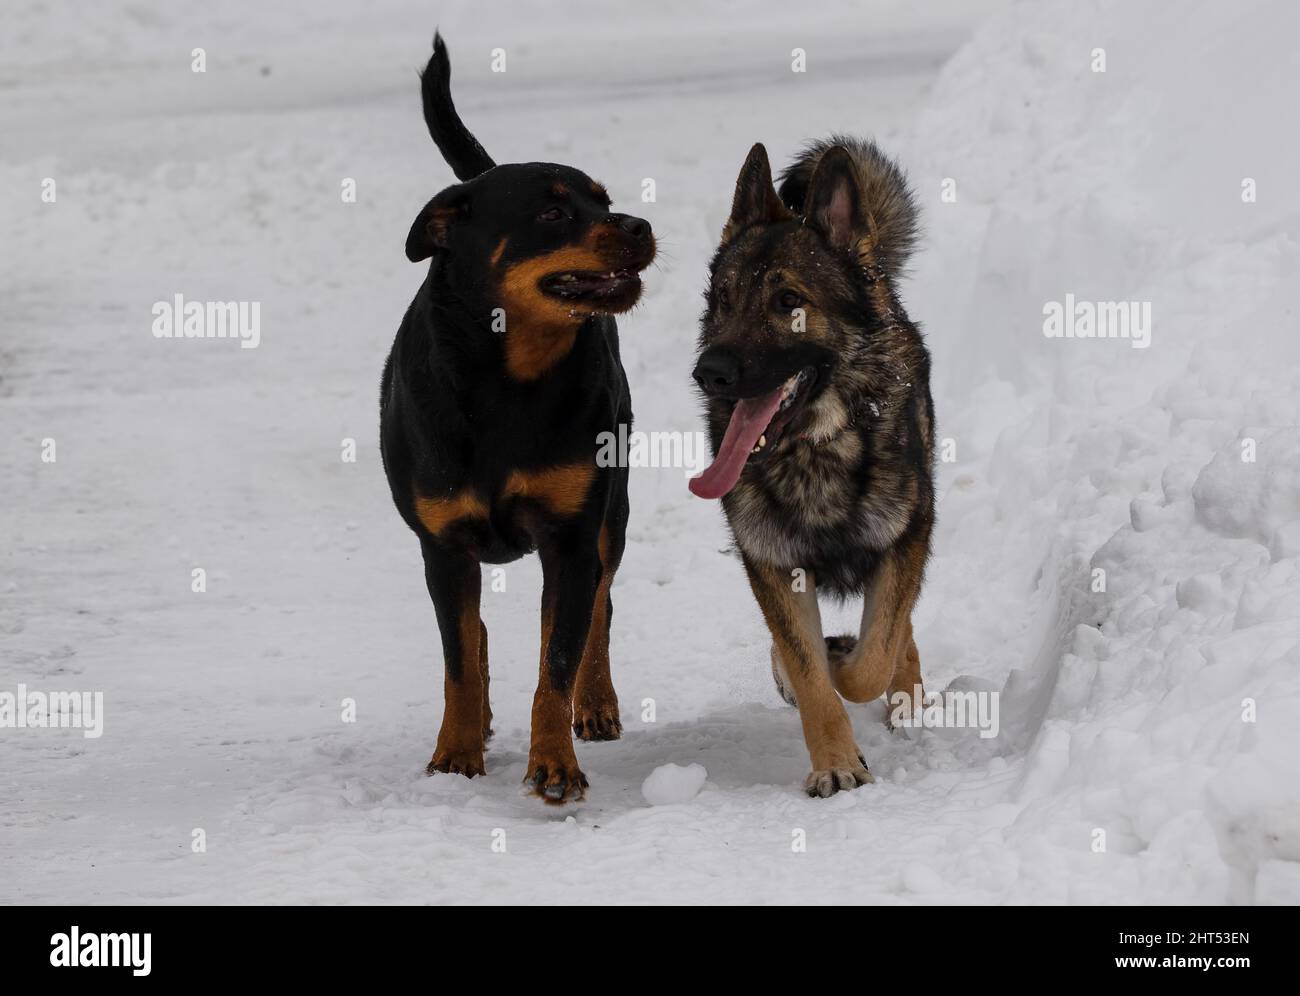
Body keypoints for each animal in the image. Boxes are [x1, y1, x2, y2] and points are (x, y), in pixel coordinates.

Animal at [379, 35, 655, 806]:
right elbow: (459, 660)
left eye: (604, 200)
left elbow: (556, 660)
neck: (507, 378)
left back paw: (595, 703)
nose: (640, 223)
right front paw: (455, 754)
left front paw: (555, 762)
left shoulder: (571, 537)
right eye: (554, 214)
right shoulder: (442, 544)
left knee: (596, 612)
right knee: (475, 636)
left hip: (612, 512)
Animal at [691, 138, 935, 795]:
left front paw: (854, 662)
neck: (815, 451)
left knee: (900, 629)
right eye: (724, 299)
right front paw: (835, 761)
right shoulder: (772, 563)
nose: (708, 372)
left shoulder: (906, 536)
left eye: (788, 302)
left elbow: (872, 656)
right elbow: (807, 670)